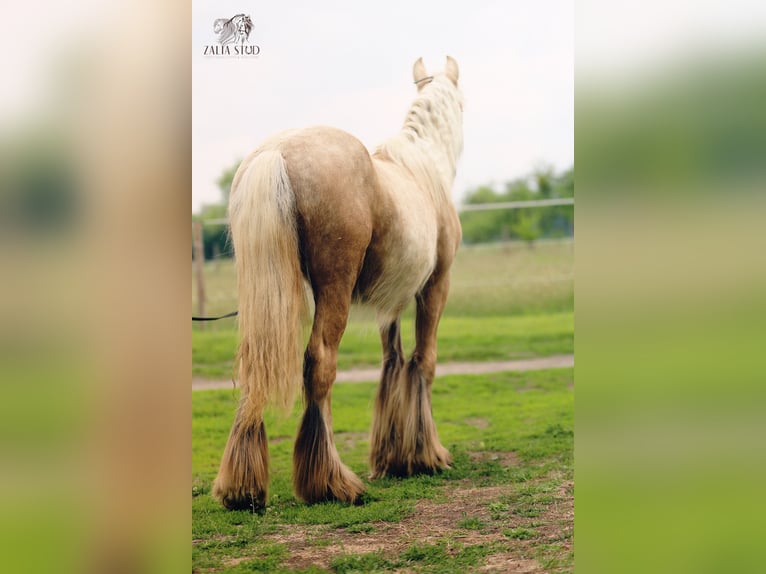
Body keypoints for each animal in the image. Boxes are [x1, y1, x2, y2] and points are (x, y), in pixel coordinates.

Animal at [213, 56, 464, 511]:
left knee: (254, 366)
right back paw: (330, 483)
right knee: (320, 365)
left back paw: (243, 489)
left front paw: (392, 458)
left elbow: (392, 361)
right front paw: (425, 456)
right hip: (335, 291)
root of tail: (276, 153)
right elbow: (423, 361)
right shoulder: (435, 286)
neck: (422, 169)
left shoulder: (390, 300)